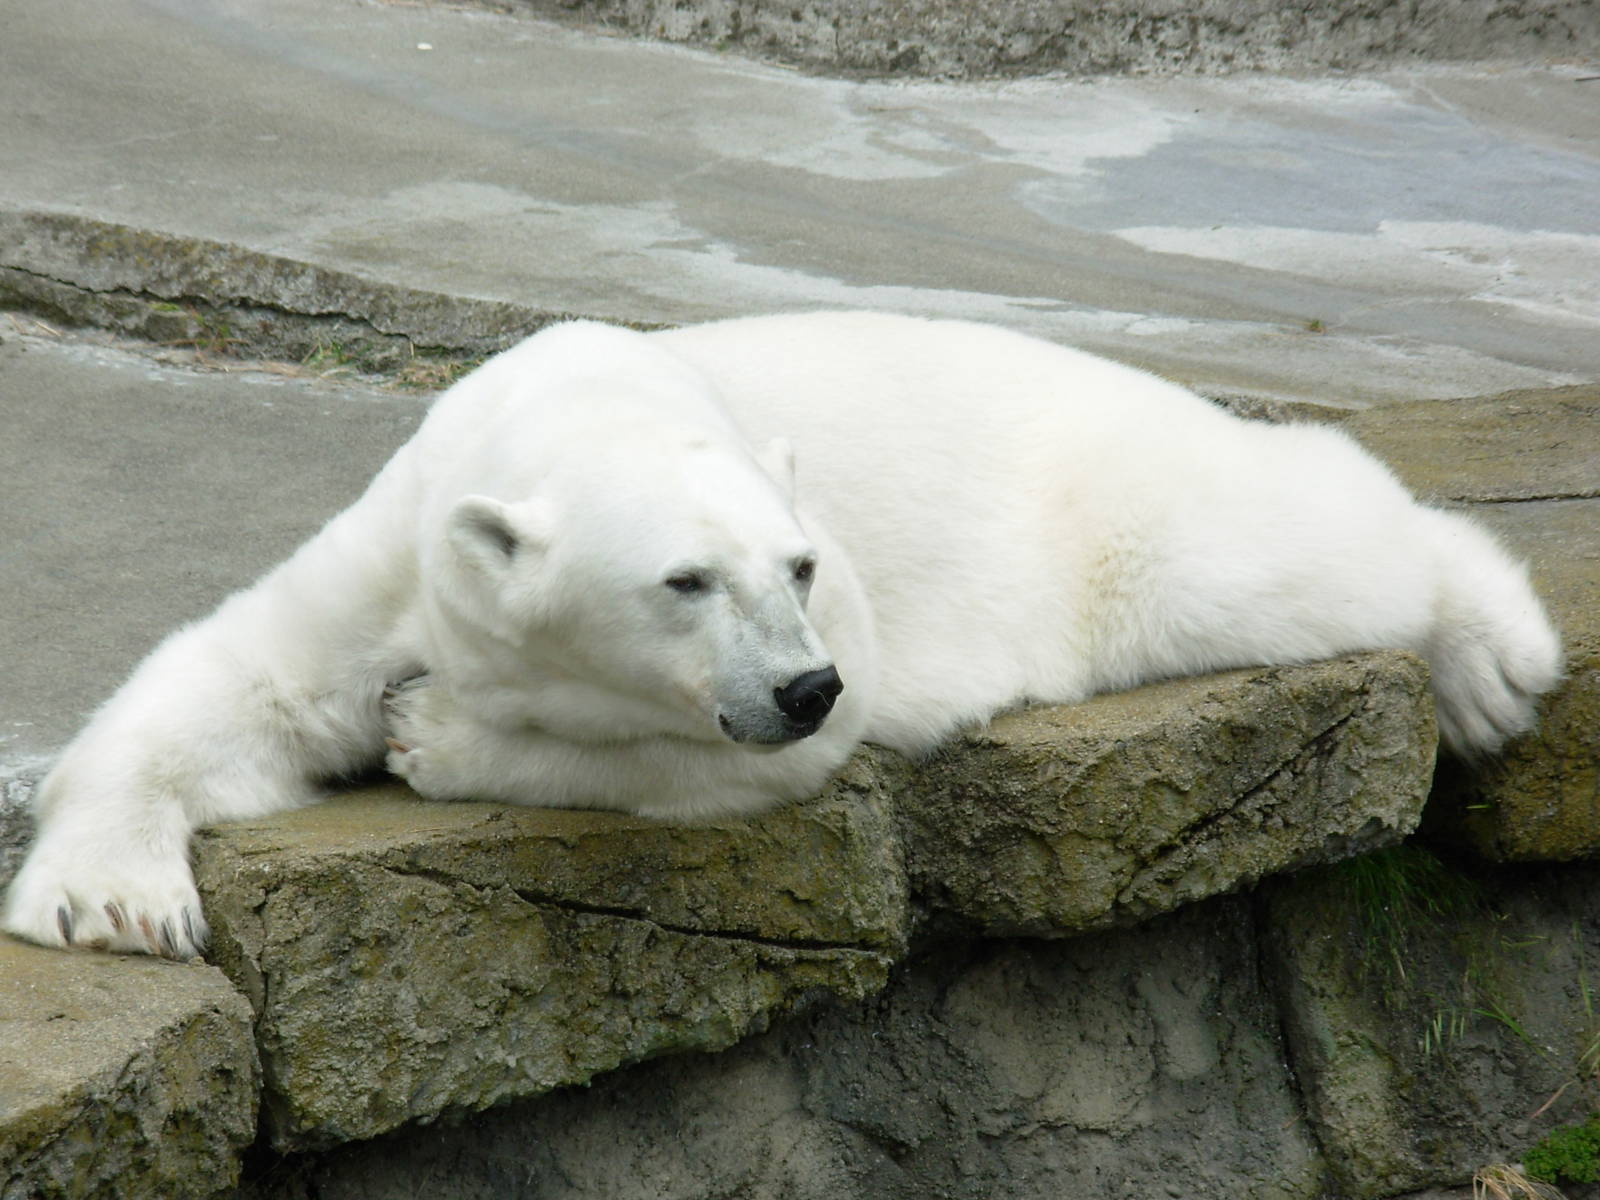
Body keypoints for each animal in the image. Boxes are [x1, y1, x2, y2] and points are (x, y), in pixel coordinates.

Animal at [2, 311, 1563, 959]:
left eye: (797, 566)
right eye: (684, 579)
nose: (802, 684)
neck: (576, 408)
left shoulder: (843, 634)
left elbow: (714, 761)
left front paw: (434, 731)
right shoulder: (403, 542)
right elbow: (241, 683)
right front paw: (111, 903)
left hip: (1130, 518)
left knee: (1289, 544)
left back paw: (1490, 653)